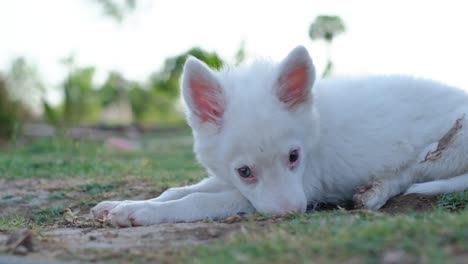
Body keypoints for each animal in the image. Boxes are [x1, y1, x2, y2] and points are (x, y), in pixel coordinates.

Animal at [91, 46, 468, 227]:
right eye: (245, 171)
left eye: (294, 157)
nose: (292, 213)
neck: (315, 128)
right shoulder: (231, 180)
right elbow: (180, 190)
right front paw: (123, 204)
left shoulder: (303, 184)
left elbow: (197, 200)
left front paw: (142, 213)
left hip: (449, 144)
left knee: (412, 173)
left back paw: (376, 191)